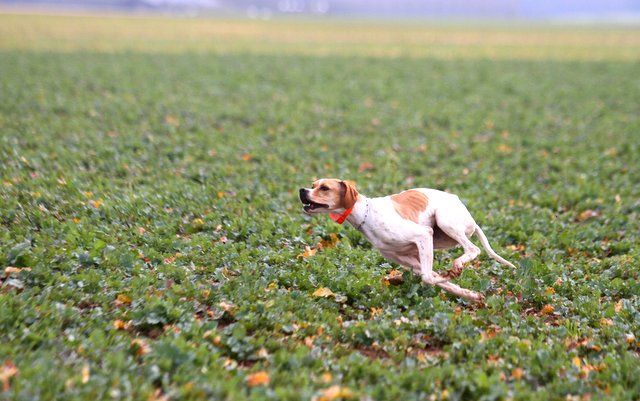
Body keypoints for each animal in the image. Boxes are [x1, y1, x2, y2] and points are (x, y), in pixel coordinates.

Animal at [300, 178, 516, 300]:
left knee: (473, 249)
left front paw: (449, 276)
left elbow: (429, 278)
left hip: (445, 222)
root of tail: (471, 218)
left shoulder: (423, 235)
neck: (366, 214)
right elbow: (433, 278)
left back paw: (456, 266)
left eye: (324, 188)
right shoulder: (412, 260)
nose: (302, 190)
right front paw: (470, 294)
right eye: (312, 185)